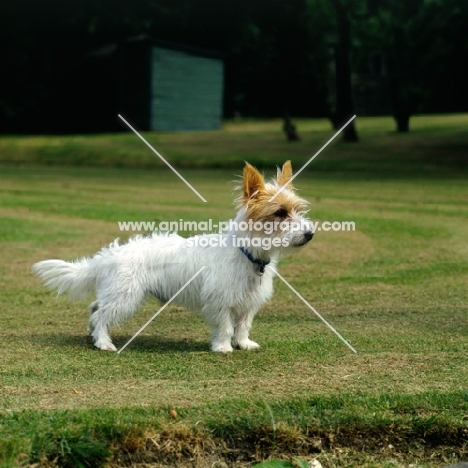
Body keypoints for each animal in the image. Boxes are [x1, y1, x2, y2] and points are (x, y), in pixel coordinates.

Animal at [33, 163, 314, 352]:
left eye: (298, 210)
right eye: (280, 212)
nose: (310, 234)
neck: (245, 252)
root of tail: (108, 256)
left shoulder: (248, 302)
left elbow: (243, 325)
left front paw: (243, 344)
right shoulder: (219, 301)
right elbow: (225, 326)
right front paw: (223, 347)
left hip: (116, 294)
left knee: (95, 309)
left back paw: (94, 335)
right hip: (125, 296)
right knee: (101, 315)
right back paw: (103, 342)